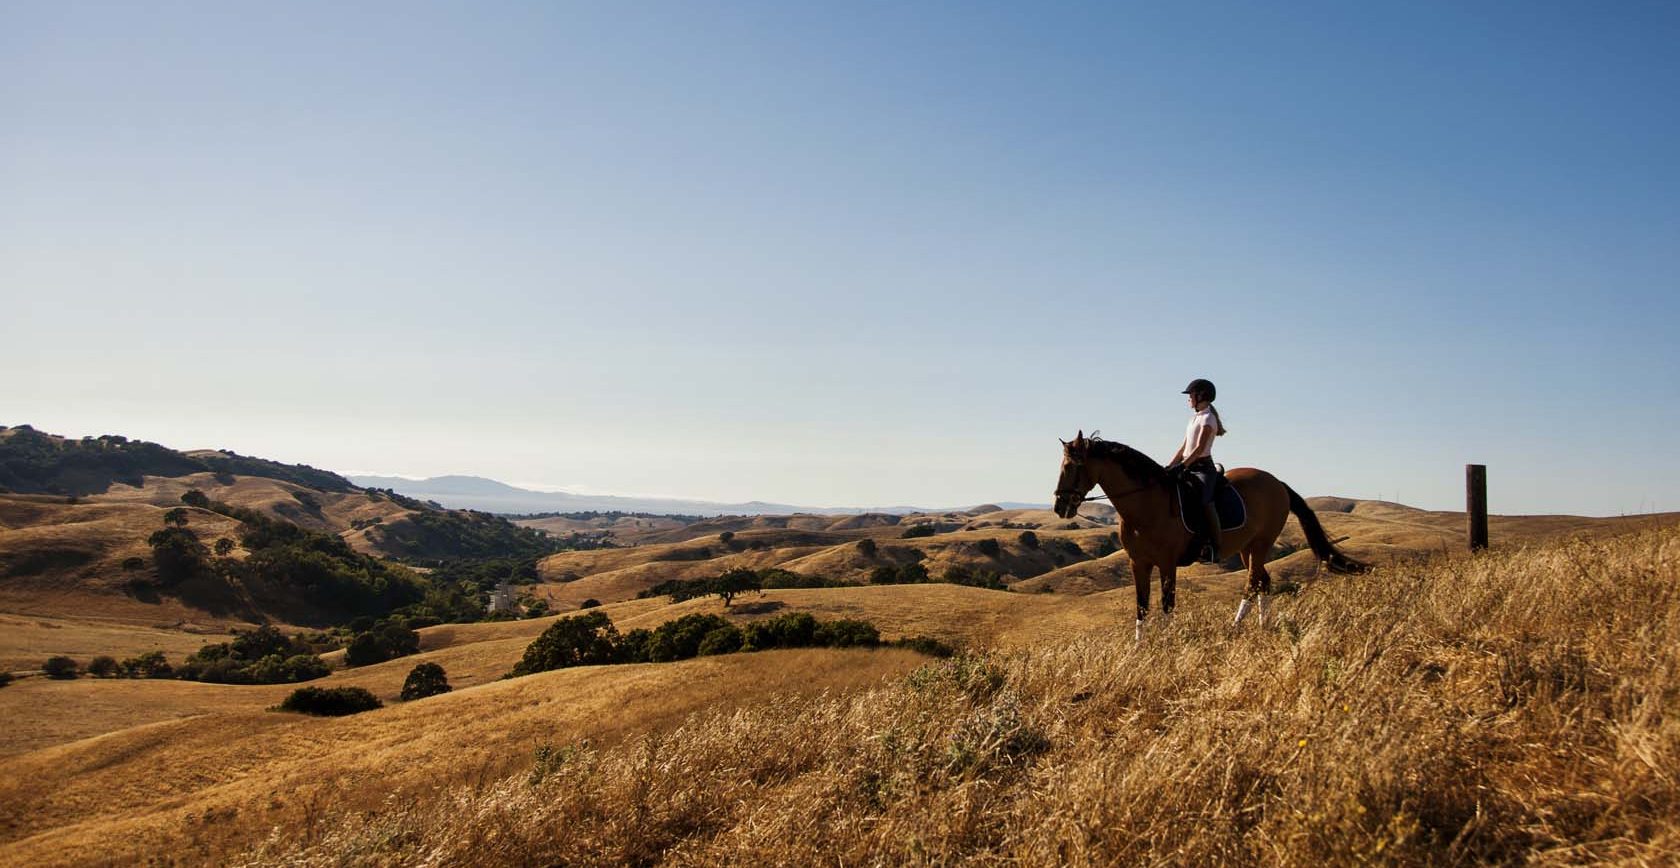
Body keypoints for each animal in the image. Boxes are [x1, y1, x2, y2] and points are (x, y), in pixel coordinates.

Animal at [1055, 428, 1370, 634]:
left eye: (1070, 466)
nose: (1060, 506)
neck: (1145, 505)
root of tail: (1276, 482)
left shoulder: (1167, 564)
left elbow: (1167, 604)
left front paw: (1165, 646)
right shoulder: (1138, 563)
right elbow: (1141, 607)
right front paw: (1138, 650)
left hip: (1262, 543)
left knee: (1253, 582)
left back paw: (1235, 627)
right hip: (1247, 548)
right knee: (1263, 581)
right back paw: (1262, 626)